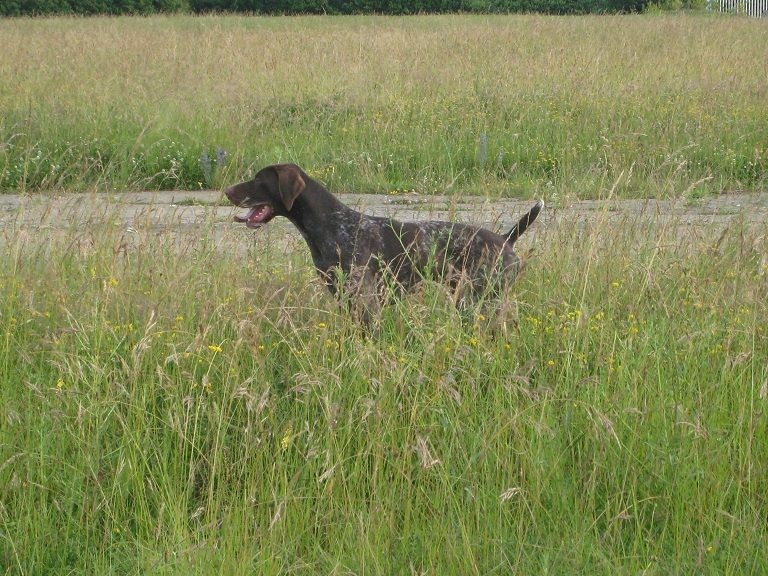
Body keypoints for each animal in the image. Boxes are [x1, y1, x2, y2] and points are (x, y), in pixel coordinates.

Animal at [225, 163, 544, 324]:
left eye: (258, 180)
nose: (227, 190)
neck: (331, 225)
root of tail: (505, 240)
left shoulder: (367, 304)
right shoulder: (345, 301)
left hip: (476, 299)